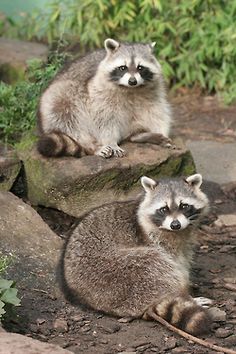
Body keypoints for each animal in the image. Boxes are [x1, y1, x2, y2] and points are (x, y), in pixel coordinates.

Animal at [37, 38, 172, 158]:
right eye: (123, 67)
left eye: (140, 67)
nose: (132, 81)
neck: (131, 90)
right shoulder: (98, 92)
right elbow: (104, 120)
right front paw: (110, 142)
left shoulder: (153, 90)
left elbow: (156, 111)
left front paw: (160, 131)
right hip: (58, 99)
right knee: (68, 120)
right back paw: (91, 146)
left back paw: (138, 135)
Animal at [61, 174, 212, 334]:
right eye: (163, 209)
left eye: (184, 206)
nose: (175, 225)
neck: (177, 232)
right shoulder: (152, 238)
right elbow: (175, 265)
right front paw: (186, 292)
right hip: (123, 269)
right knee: (156, 261)